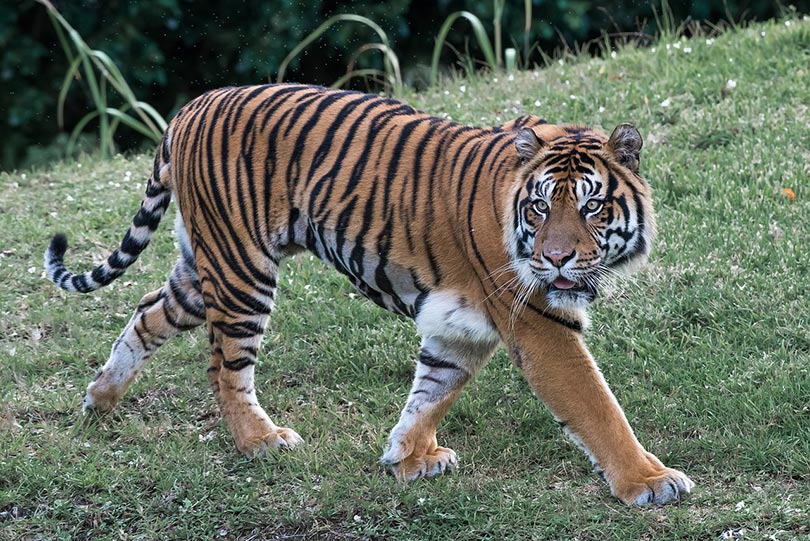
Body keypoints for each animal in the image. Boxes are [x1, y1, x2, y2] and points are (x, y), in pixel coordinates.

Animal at [44, 83, 692, 502]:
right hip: (241, 271)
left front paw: (408, 457)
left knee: (147, 312)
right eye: (539, 207)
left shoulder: (459, 326)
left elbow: (432, 392)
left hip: (203, 270)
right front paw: (650, 482)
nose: (555, 258)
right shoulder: (540, 324)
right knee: (224, 367)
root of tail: (187, 109)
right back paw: (261, 441)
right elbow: (596, 405)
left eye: (591, 206)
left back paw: (100, 400)